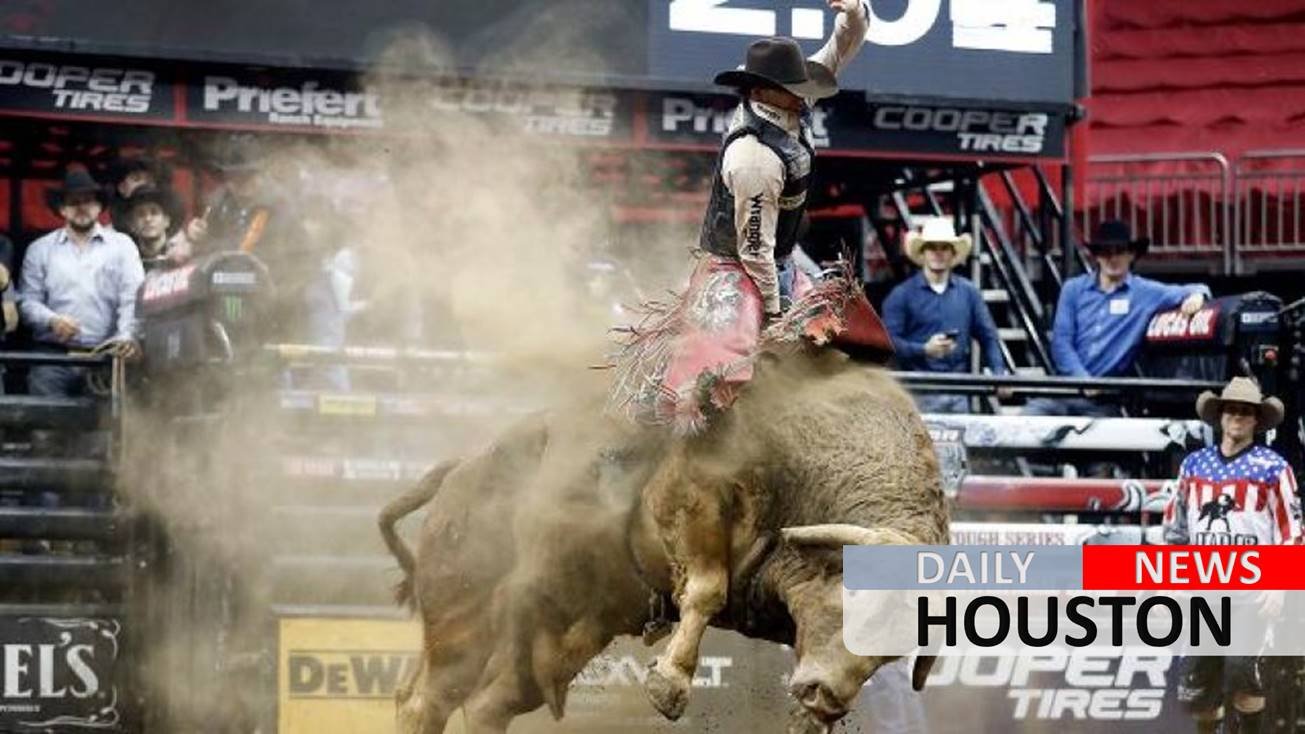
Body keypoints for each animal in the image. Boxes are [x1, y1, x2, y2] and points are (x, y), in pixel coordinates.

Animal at [378, 349, 949, 733]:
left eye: (898, 649)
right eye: (859, 600)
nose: (826, 700)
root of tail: (459, 471)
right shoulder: (689, 497)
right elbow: (707, 588)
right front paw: (668, 684)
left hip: (555, 636)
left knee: (486, 705)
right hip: (462, 613)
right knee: (426, 701)